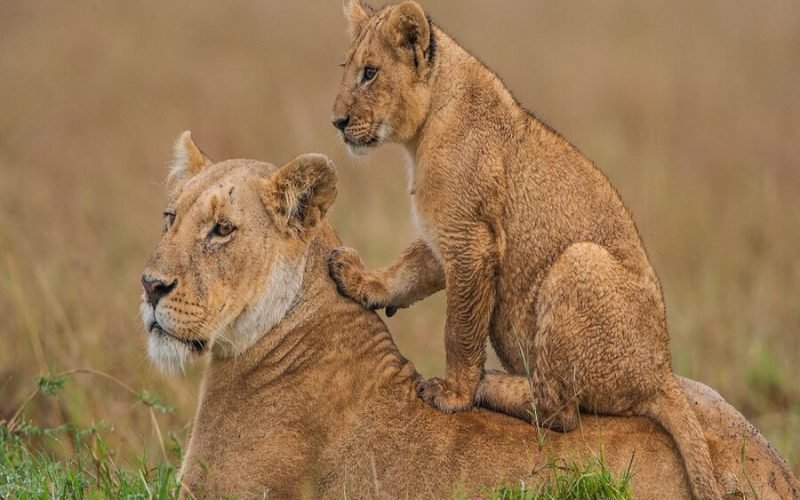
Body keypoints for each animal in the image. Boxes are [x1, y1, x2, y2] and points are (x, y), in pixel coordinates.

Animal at [328, 1, 737, 498]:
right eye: (348, 68)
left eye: (370, 72)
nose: (337, 122)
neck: (424, 132)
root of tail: (662, 371)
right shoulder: (445, 237)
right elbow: (407, 271)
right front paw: (360, 281)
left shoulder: (472, 241)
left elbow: (460, 330)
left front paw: (453, 394)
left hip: (578, 262)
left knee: (561, 410)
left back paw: (492, 384)